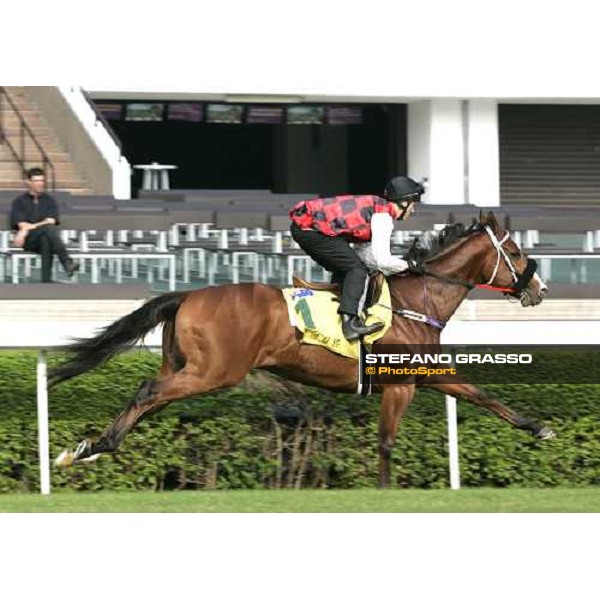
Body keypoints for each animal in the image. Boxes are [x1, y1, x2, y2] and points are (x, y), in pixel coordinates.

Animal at [52, 212, 552, 488]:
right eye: (514, 252)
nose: (540, 289)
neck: (415, 301)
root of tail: (188, 294)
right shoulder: (402, 384)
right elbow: (387, 441)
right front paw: (385, 489)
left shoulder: (426, 374)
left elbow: (481, 395)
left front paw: (538, 427)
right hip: (214, 371)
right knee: (146, 392)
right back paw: (96, 446)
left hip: (185, 365)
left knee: (148, 398)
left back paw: (90, 448)